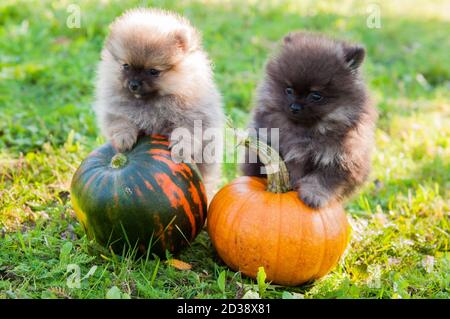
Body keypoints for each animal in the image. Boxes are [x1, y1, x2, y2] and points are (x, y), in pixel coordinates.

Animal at [94, 8, 224, 200]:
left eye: (153, 71)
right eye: (126, 66)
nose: (133, 84)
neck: (149, 102)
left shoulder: (194, 114)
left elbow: (187, 132)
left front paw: (181, 147)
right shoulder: (116, 107)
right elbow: (120, 122)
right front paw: (124, 138)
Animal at [241, 31, 378, 209]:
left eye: (316, 95)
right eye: (289, 90)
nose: (295, 107)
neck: (304, 130)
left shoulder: (342, 158)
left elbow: (323, 179)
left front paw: (313, 196)